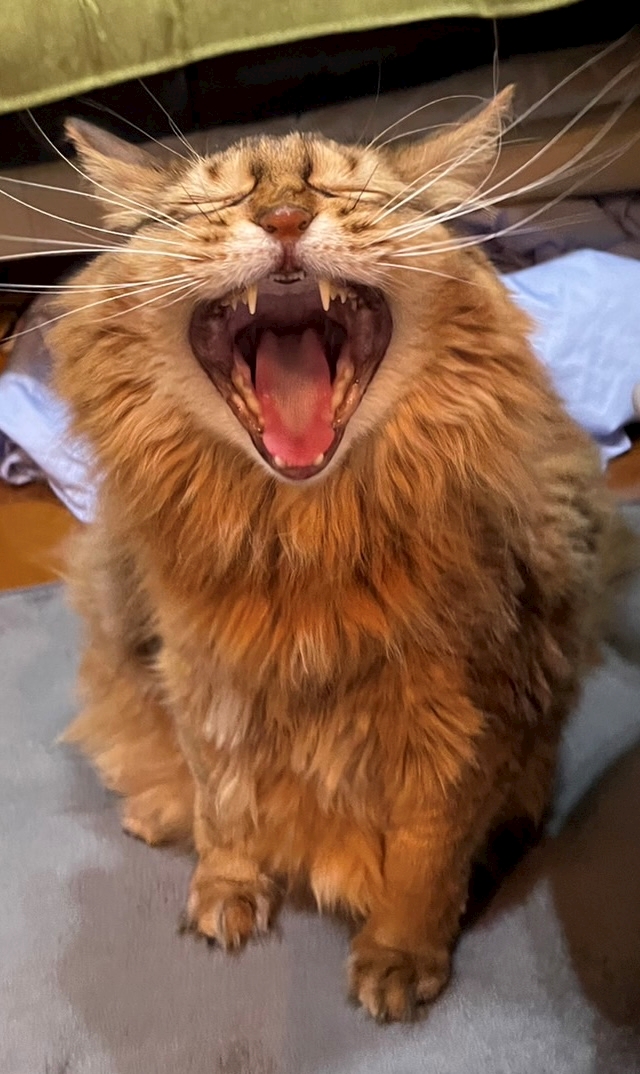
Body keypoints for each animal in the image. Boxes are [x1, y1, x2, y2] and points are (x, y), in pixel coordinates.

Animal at [53, 90, 614, 1022]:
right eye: (219, 201)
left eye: (344, 191)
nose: (284, 217)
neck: (302, 546)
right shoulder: (201, 677)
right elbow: (224, 802)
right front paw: (226, 886)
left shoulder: (469, 712)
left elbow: (427, 854)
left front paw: (400, 955)